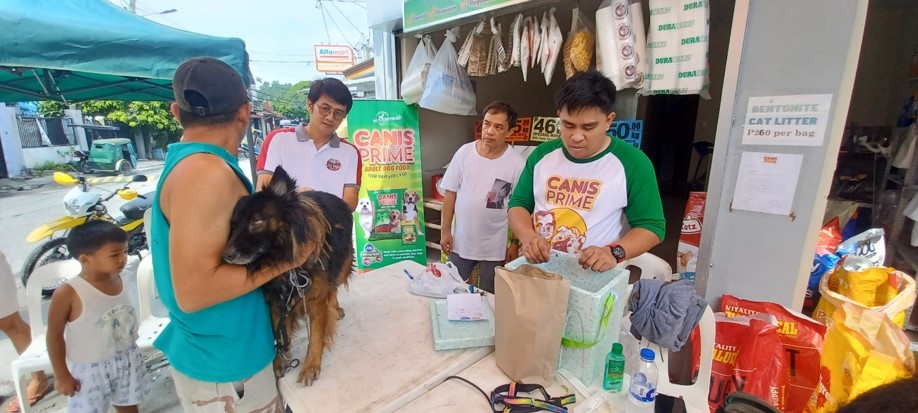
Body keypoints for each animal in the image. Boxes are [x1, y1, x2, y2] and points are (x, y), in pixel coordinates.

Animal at [221, 166, 354, 384]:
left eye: (257, 222)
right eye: (233, 225)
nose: (226, 256)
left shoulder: (316, 300)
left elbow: (316, 336)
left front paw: (310, 366)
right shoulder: (277, 303)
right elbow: (280, 335)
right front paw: (279, 362)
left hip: (343, 266)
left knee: (333, 286)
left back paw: (335, 307)